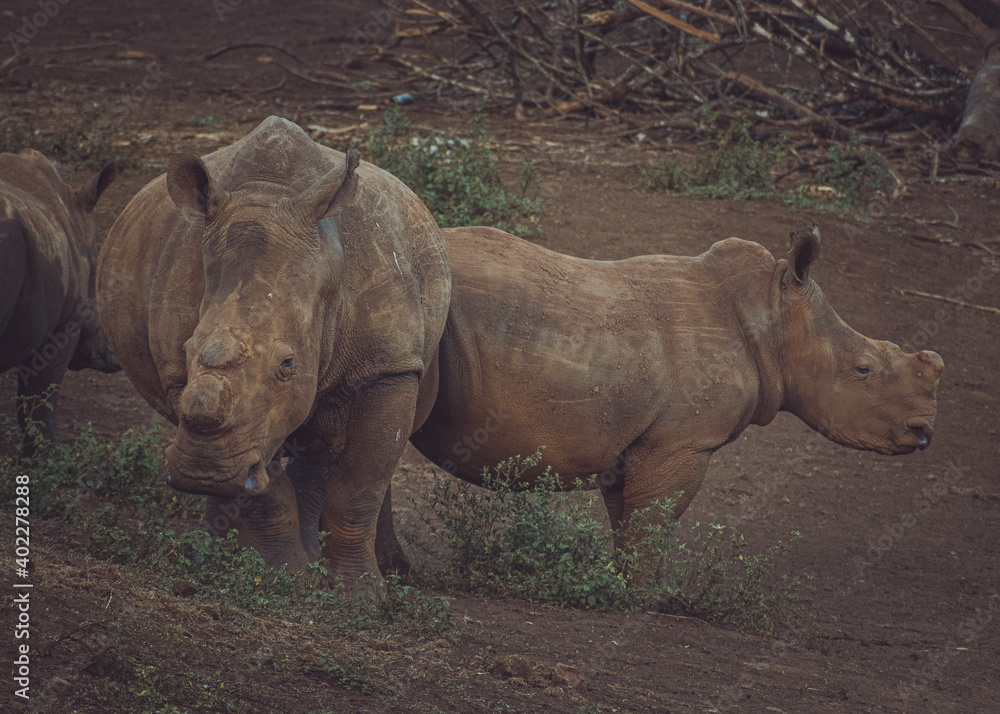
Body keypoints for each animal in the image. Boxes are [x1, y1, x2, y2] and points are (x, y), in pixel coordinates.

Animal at [97, 117, 450, 587]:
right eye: (187, 350)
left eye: (287, 364)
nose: (201, 469)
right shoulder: (181, 379)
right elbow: (257, 482)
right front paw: (287, 577)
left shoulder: (388, 367)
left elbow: (359, 484)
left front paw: (357, 593)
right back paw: (214, 557)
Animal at [394, 223, 943, 553]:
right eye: (864, 369)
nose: (925, 430)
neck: (773, 315)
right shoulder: (681, 441)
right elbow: (651, 525)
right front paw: (634, 600)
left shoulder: (636, 440)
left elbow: (628, 520)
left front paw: (611, 583)